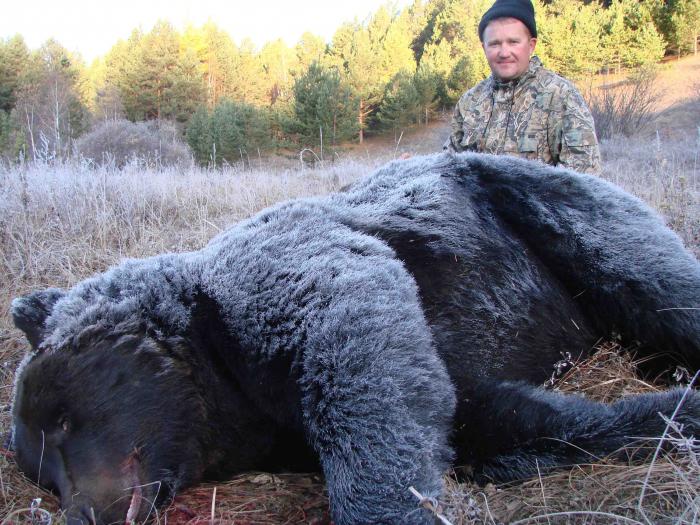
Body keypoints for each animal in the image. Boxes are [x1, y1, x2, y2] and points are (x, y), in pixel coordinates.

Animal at [10, 152, 700, 525]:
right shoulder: (463, 397)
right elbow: (505, 424)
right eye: (40, 473)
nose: (83, 512)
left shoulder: (286, 273)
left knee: (652, 281)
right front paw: (672, 414)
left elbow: (362, 369)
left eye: (64, 422)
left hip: (551, 211)